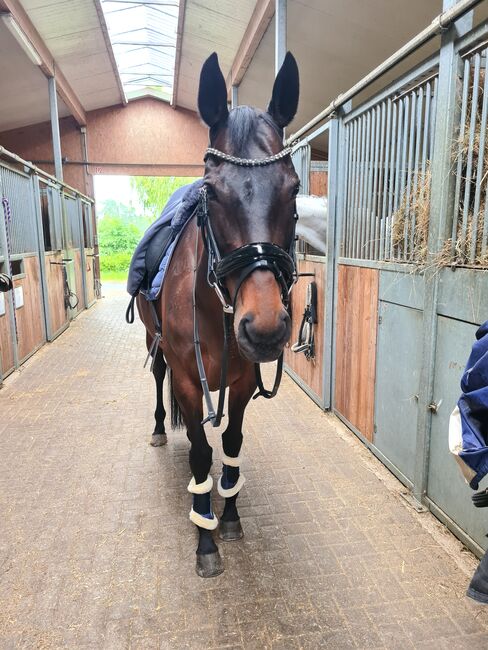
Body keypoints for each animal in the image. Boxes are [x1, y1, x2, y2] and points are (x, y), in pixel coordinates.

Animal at [135, 52, 300, 576]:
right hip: (155, 345)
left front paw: (227, 518)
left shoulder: (243, 380)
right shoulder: (190, 379)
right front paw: (204, 539)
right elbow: (202, 453)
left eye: (293, 188)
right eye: (212, 190)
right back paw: (159, 429)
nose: (265, 328)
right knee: (159, 380)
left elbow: (229, 444)